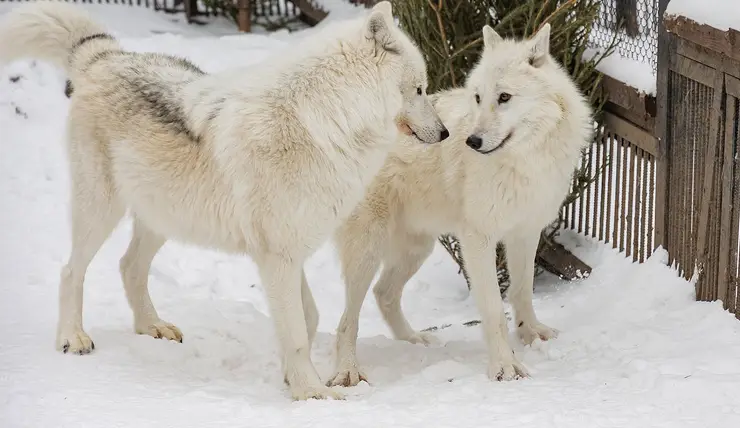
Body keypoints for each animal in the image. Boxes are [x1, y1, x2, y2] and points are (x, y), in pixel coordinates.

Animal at [0, 0, 446, 402]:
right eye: (420, 89)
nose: (444, 133)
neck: (325, 122)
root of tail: (105, 55)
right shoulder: (278, 256)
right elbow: (298, 333)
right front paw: (312, 393)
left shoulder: (288, 253)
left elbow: (309, 318)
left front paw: (293, 380)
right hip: (101, 210)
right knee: (70, 270)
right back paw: (73, 337)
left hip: (164, 217)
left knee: (128, 266)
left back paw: (152, 327)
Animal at [330, 22, 596, 384]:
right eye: (478, 97)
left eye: (504, 97)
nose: (472, 141)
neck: (524, 161)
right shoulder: (478, 240)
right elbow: (494, 309)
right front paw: (505, 367)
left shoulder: (525, 234)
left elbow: (522, 291)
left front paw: (531, 335)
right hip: (367, 252)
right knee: (347, 320)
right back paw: (348, 372)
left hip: (417, 249)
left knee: (384, 294)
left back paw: (415, 341)